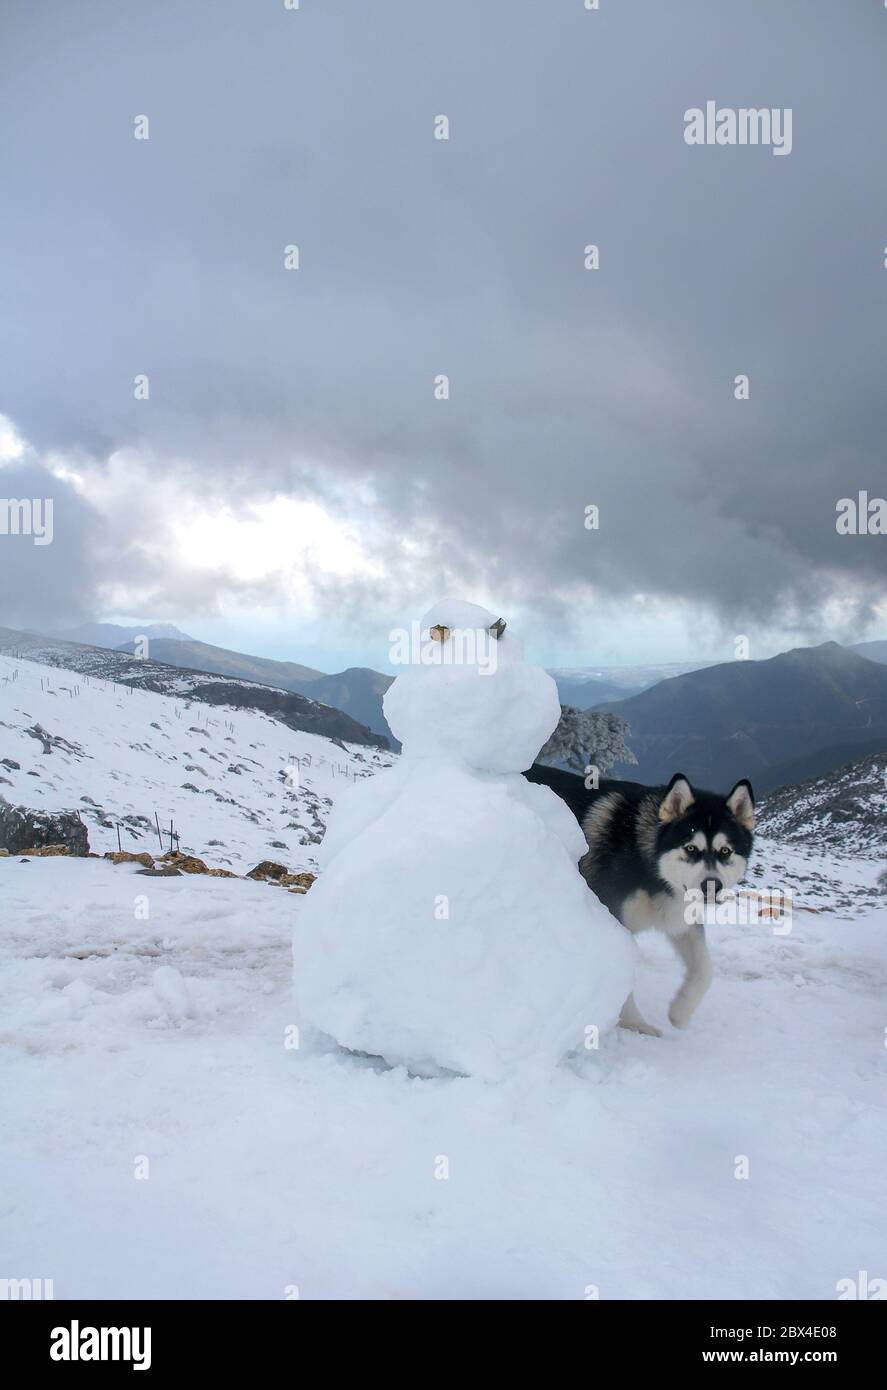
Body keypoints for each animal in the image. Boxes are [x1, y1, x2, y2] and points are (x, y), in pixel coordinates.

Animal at [525, 772, 756, 1034]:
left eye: (725, 851)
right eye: (690, 848)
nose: (712, 885)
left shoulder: (679, 915)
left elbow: (705, 968)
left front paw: (680, 1012)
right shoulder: (613, 919)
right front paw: (635, 1022)